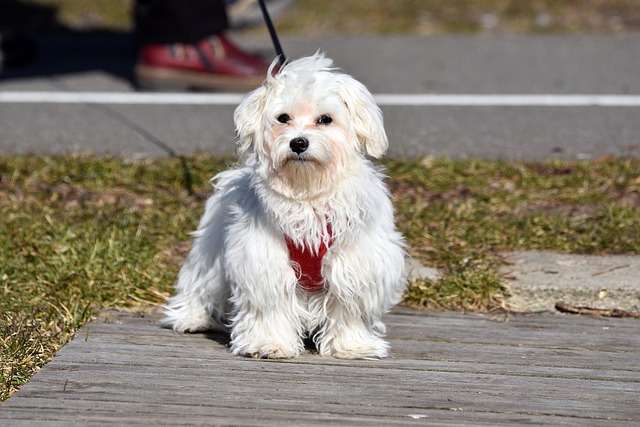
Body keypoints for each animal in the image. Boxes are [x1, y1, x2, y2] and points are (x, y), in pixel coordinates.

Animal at [160, 53, 404, 362]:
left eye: (325, 119)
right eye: (283, 118)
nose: (298, 142)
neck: (307, 194)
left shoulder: (355, 263)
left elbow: (349, 308)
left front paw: (352, 345)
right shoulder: (264, 261)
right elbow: (270, 306)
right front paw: (269, 343)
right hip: (212, 250)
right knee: (201, 282)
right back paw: (192, 317)